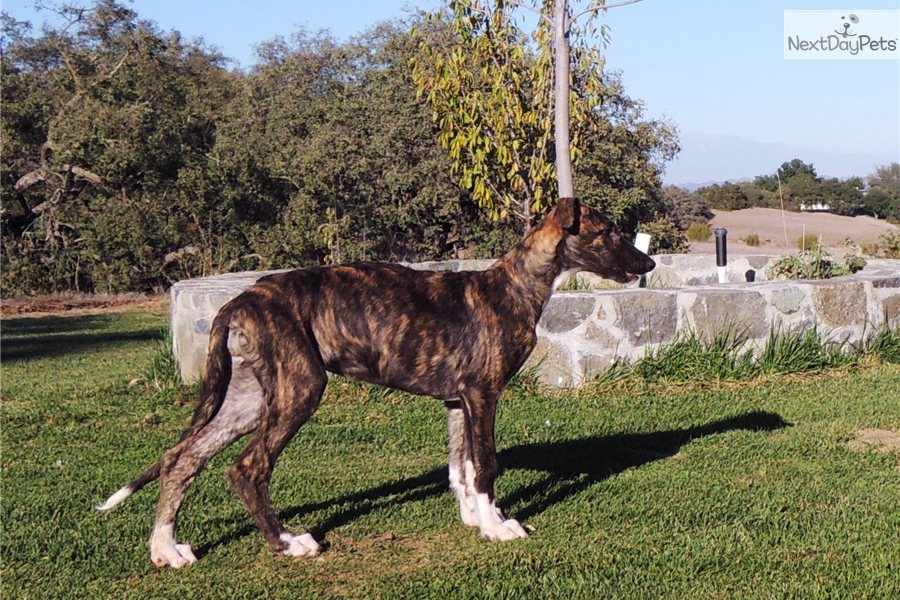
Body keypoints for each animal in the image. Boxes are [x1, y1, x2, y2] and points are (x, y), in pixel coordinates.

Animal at [96, 197, 652, 568]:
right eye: (607, 232)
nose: (648, 263)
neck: (515, 285)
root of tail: (240, 300)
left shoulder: (457, 400)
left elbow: (462, 467)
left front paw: (475, 519)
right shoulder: (484, 394)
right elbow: (487, 465)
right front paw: (498, 526)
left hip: (252, 394)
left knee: (183, 456)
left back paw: (166, 547)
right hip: (301, 387)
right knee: (248, 468)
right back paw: (286, 542)